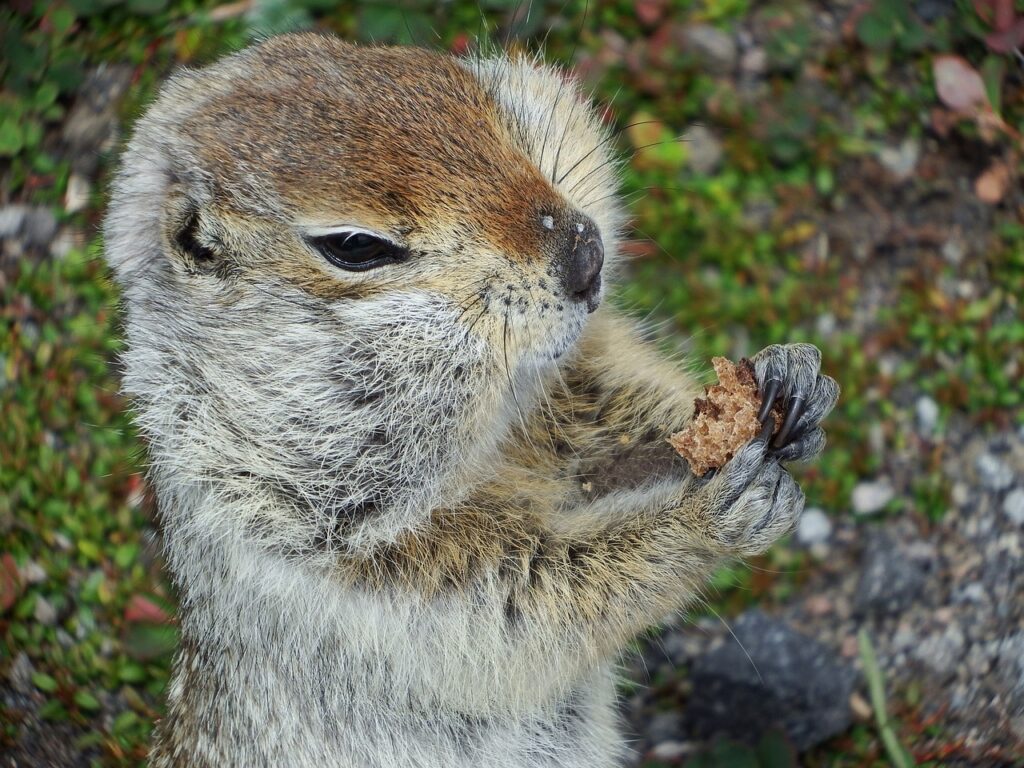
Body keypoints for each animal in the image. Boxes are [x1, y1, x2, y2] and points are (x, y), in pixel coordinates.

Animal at [103, 33, 839, 765]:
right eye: (355, 246)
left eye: (492, 111)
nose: (587, 255)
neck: (490, 439)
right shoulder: (338, 565)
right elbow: (528, 602)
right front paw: (708, 514)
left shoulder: (561, 395)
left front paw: (786, 383)